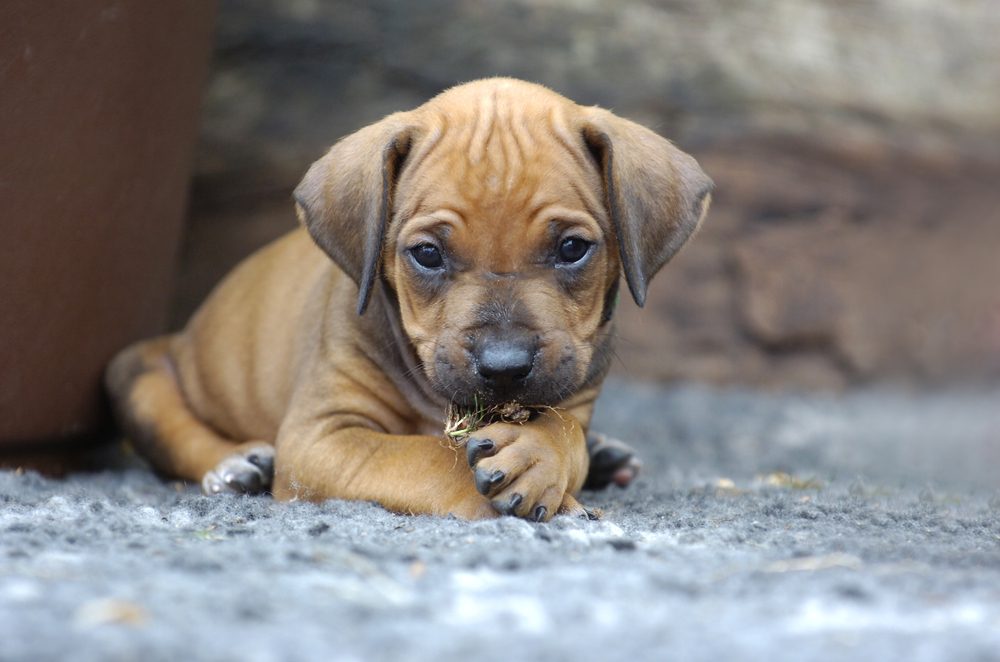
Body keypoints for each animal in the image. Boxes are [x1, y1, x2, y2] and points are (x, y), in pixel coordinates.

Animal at [105, 79, 712, 524]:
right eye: (426, 254)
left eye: (572, 248)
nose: (505, 367)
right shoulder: (322, 438)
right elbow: (426, 456)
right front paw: (556, 498)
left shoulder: (576, 388)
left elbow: (565, 433)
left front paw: (541, 457)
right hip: (136, 374)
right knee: (173, 427)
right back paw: (234, 464)